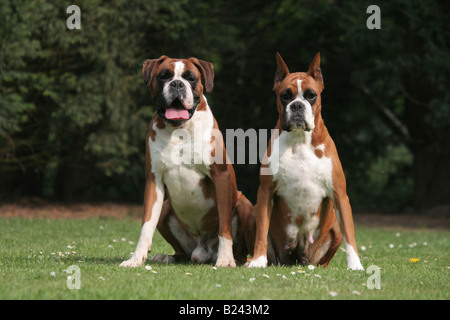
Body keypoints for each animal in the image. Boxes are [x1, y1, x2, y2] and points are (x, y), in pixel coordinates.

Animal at [119, 55, 255, 268]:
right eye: (164, 76)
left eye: (191, 78)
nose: (177, 84)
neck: (180, 130)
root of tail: (202, 249)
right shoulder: (154, 181)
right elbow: (146, 224)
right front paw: (136, 258)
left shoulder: (221, 177)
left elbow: (224, 226)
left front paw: (225, 259)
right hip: (166, 209)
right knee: (182, 252)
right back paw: (167, 257)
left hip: (244, 205)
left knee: (240, 251)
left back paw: (241, 260)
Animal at [248, 52, 364, 270]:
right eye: (285, 96)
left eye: (311, 95)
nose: (297, 105)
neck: (300, 139)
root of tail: (297, 259)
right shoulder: (265, 192)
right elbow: (261, 232)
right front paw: (257, 261)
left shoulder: (340, 195)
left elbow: (350, 235)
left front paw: (355, 265)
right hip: (253, 211)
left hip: (332, 232)